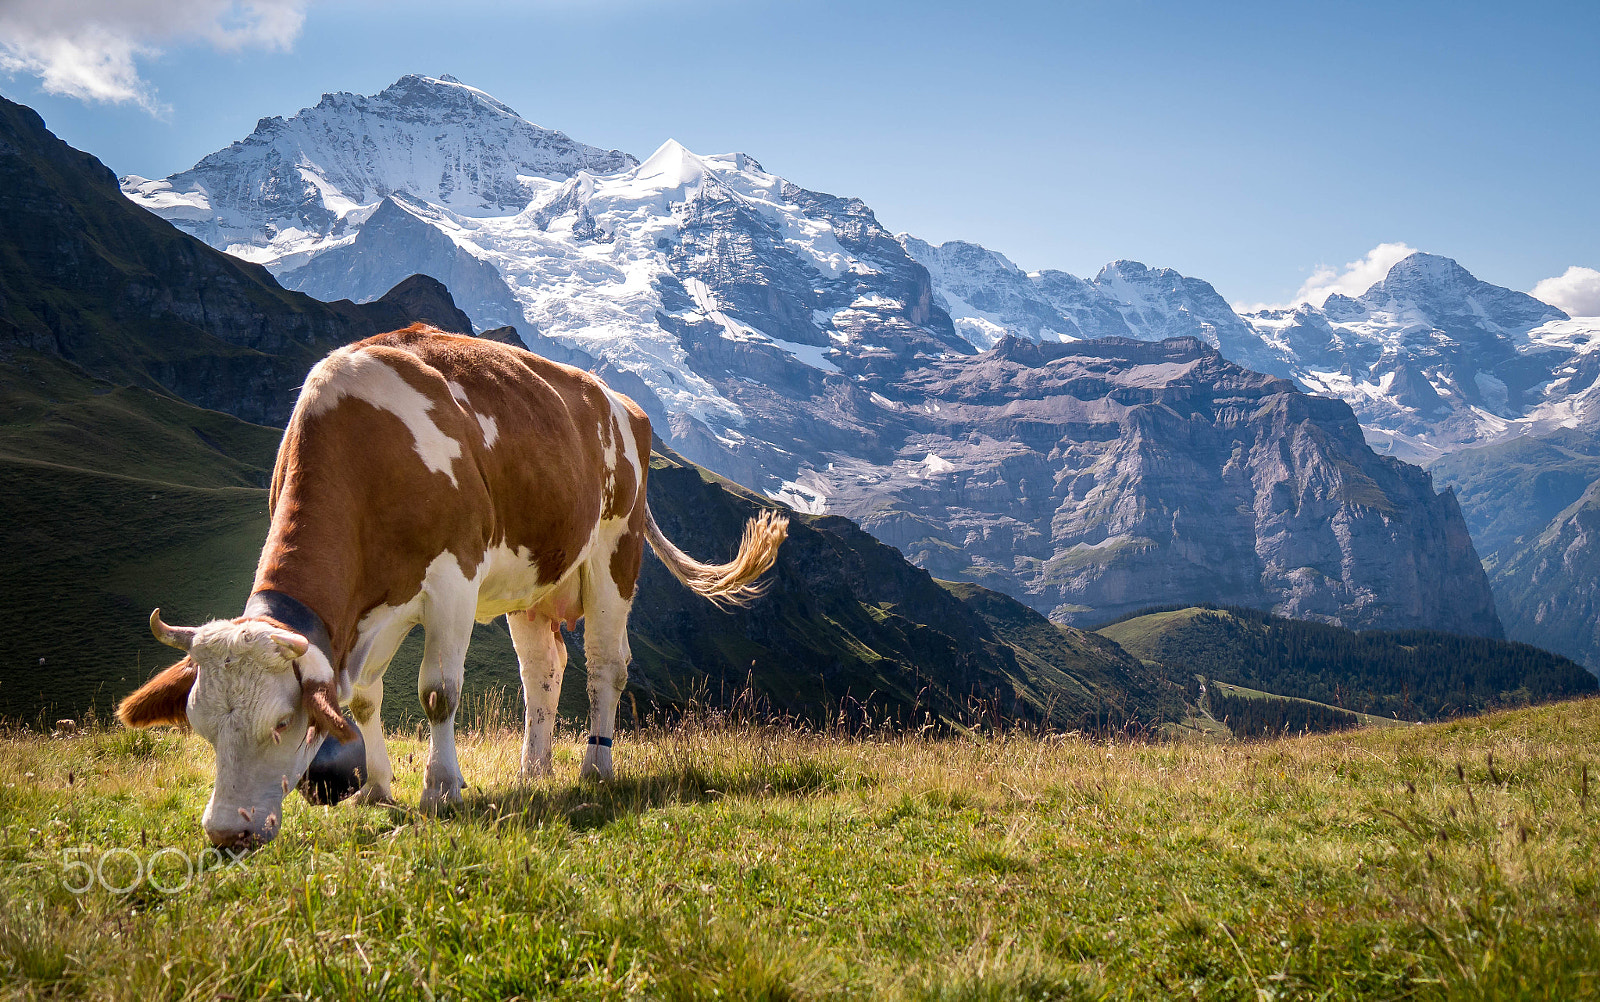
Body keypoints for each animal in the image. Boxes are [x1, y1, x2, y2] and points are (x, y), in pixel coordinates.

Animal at [114, 326, 787, 845]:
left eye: (281, 722)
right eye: (200, 725)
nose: (227, 832)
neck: (366, 455)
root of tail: (623, 403)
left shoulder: (452, 581)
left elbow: (438, 692)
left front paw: (441, 791)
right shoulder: (378, 605)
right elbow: (364, 697)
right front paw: (378, 789)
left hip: (613, 552)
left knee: (604, 664)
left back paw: (595, 768)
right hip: (532, 579)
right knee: (543, 669)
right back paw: (534, 771)